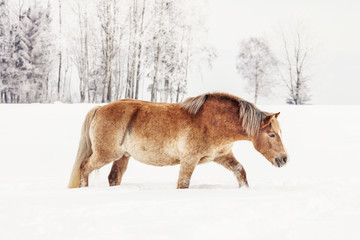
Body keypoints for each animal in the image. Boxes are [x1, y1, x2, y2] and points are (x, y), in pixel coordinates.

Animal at [68, 93, 286, 188]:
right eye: (272, 134)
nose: (284, 159)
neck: (213, 122)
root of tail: (100, 108)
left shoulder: (222, 156)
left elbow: (240, 171)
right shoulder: (189, 160)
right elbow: (183, 183)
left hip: (123, 156)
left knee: (113, 177)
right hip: (106, 154)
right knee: (84, 167)